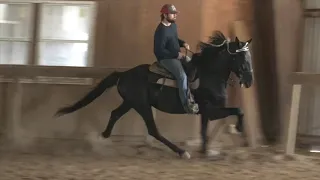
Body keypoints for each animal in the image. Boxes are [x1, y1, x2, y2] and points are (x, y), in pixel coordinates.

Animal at [56, 31, 254, 159]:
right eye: (241, 58)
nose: (249, 80)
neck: (209, 74)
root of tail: (123, 74)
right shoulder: (212, 110)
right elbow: (239, 110)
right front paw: (238, 129)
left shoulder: (206, 113)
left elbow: (204, 131)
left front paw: (206, 151)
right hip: (142, 106)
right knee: (153, 130)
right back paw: (181, 152)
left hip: (131, 103)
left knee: (115, 114)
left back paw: (102, 138)